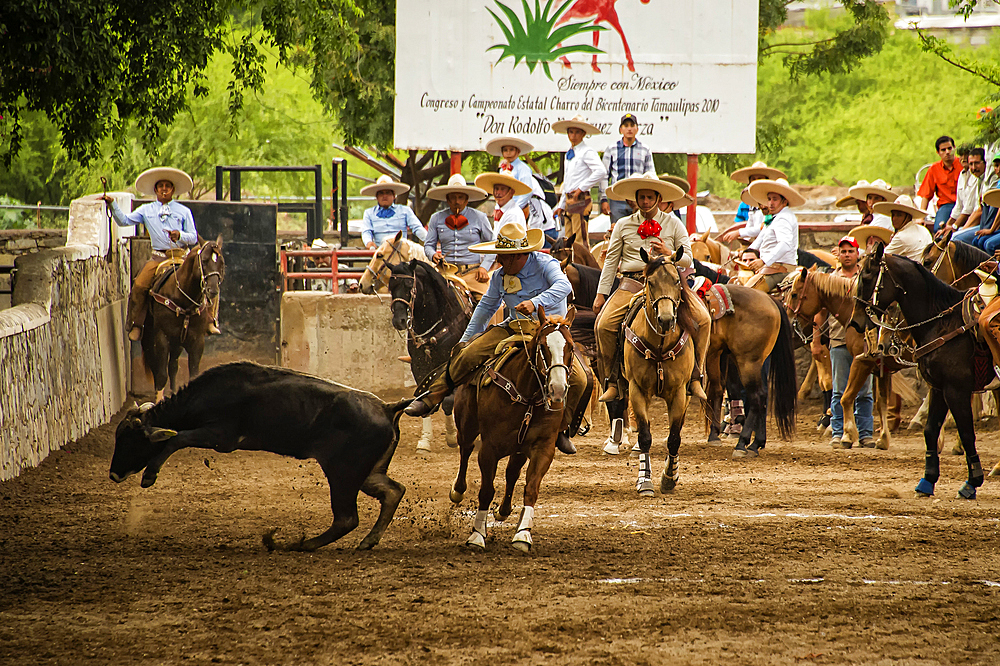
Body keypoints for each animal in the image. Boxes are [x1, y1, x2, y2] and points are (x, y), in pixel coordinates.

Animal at [112, 360, 414, 548]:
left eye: (127, 440)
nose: (114, 474)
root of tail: (387, 407)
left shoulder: (221, 436)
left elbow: (177, 439)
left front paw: (150, 475)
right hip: (366, 473)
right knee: (393, 491)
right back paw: (367, 540)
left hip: (343, 472)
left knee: (346, 518)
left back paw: (300, 545)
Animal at [143, 235, 225, 400]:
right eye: (204, 260)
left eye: (222, 262)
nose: (212, 290)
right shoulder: (162, 338)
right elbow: (161, 375)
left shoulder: (197, 341)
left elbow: (192, 374)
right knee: (157, 367)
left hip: (178, 343)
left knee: (173, 366)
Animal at [450, 308, 576, 552]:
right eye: (543, 346)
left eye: (571, 347)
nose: (557, 389)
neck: (527, 397)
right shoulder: (489, 449)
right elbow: (486, 491)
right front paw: (477, 535)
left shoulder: (543, 448)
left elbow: (531, 488)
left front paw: (523, 534)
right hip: (467, 426)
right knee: (465, 450)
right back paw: (458, 491)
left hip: (518, 448)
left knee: (512, 472)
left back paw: (504, 510)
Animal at [700, 280, 792, 456]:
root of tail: (770, 300)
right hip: (747, 361)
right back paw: (756, 443)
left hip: (747, 361)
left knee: (757, 396)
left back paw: (742, 444)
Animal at [852, 246, 984, 496]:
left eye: (866, 276)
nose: (855, 322)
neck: (946, 324)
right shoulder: (940, 388)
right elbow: (930, 430)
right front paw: (927, 480)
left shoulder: (956, 389)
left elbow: (967, 432)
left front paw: (972, 482)